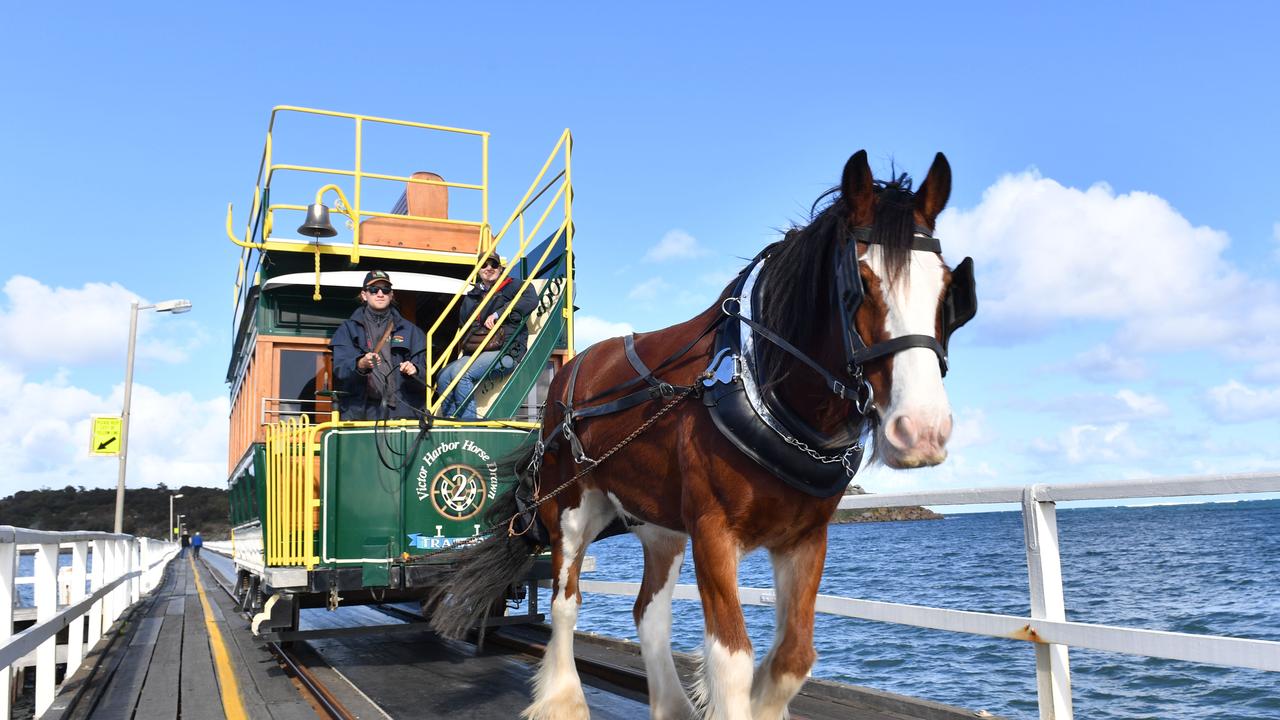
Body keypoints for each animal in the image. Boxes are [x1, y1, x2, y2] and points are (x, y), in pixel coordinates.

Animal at [430, 148, 967, 712]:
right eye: (858, 285)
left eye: (949, 290)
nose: (923, 429)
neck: (762, 386)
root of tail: (567, 376)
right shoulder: (712, 531)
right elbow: (731, 661)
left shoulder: (805, 538)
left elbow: (792, 659)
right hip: (570, 511)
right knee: (565, 602)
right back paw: (563, 699)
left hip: (658, 523)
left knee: (649, 612)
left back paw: (669, 704)